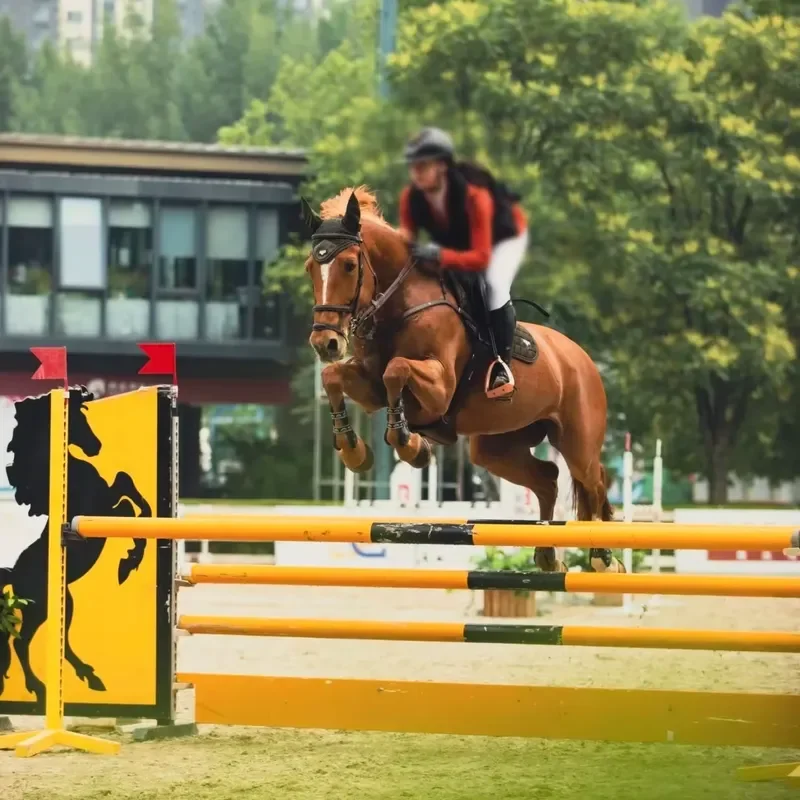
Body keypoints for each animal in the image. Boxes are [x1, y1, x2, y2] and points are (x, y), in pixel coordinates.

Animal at [0, 386, 150, 709]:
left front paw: (130, 559)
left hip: (63, 603)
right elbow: (128, 500)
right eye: (77, 421)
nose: (96, 447)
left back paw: (89, 677)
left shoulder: (107, 499)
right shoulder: (103, 508)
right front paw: (128, 561)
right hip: (40, 608)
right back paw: (40, 689)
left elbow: (126, 485)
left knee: (55, 642)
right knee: (20, 641)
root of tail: (14, 574)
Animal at [302, 187, 623, 575]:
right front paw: (353, 449)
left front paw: (410, 444)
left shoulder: (439, 387)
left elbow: (397, 369)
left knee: (595, 482)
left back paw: (602, 557)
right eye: (310, 269)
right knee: (547, 478)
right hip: (495, 448)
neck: (399, 305)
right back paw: (548, 554)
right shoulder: (370, 387)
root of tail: (582, 359)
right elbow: (334, 376)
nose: (325, 343)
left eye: (349, 265)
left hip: (577, 441)